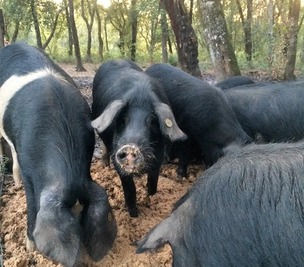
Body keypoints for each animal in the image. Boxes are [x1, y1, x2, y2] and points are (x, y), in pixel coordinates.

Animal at [91, 59, 185, 219]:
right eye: (122, 119)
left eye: (152, 122)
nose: (130, 147)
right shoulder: (118, 161)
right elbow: (129, 189)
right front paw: (134, 216)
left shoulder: (159, 156)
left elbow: (153, 182)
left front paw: (150, 200)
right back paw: (104, 166)